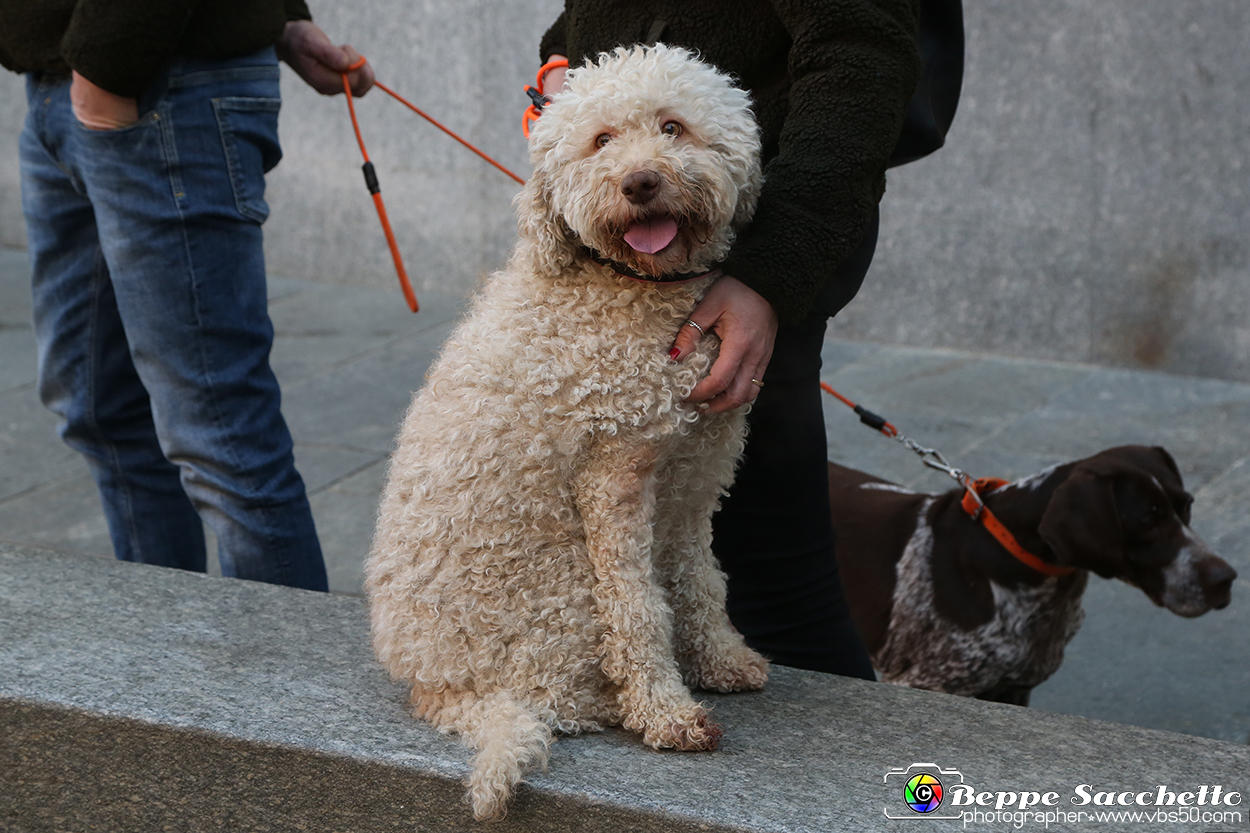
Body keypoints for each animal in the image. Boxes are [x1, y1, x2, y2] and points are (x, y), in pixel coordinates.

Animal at [365, 45, 765, 815]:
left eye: (673, 126)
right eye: (601, 141)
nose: (640, 182)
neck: (628, 287)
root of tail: (439, 688)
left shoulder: (695, 472)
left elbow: (700, 578)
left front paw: (723, 659)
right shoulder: (615, 477)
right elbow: (640, 609)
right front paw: (666, 712)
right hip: (561, 594)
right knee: (557, 700)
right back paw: (607, 704)